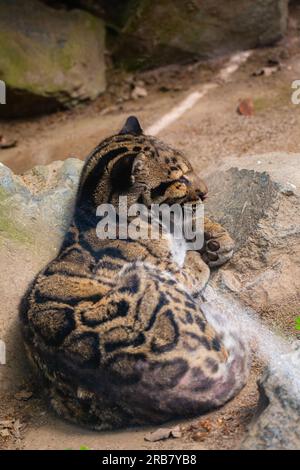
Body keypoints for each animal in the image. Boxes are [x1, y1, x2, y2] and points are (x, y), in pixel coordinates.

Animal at [20, 116, 248, 430]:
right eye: (179, 180)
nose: (205, 192)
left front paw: (214, 237)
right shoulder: (164, 268)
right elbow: (186, 260)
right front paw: (198, 254)